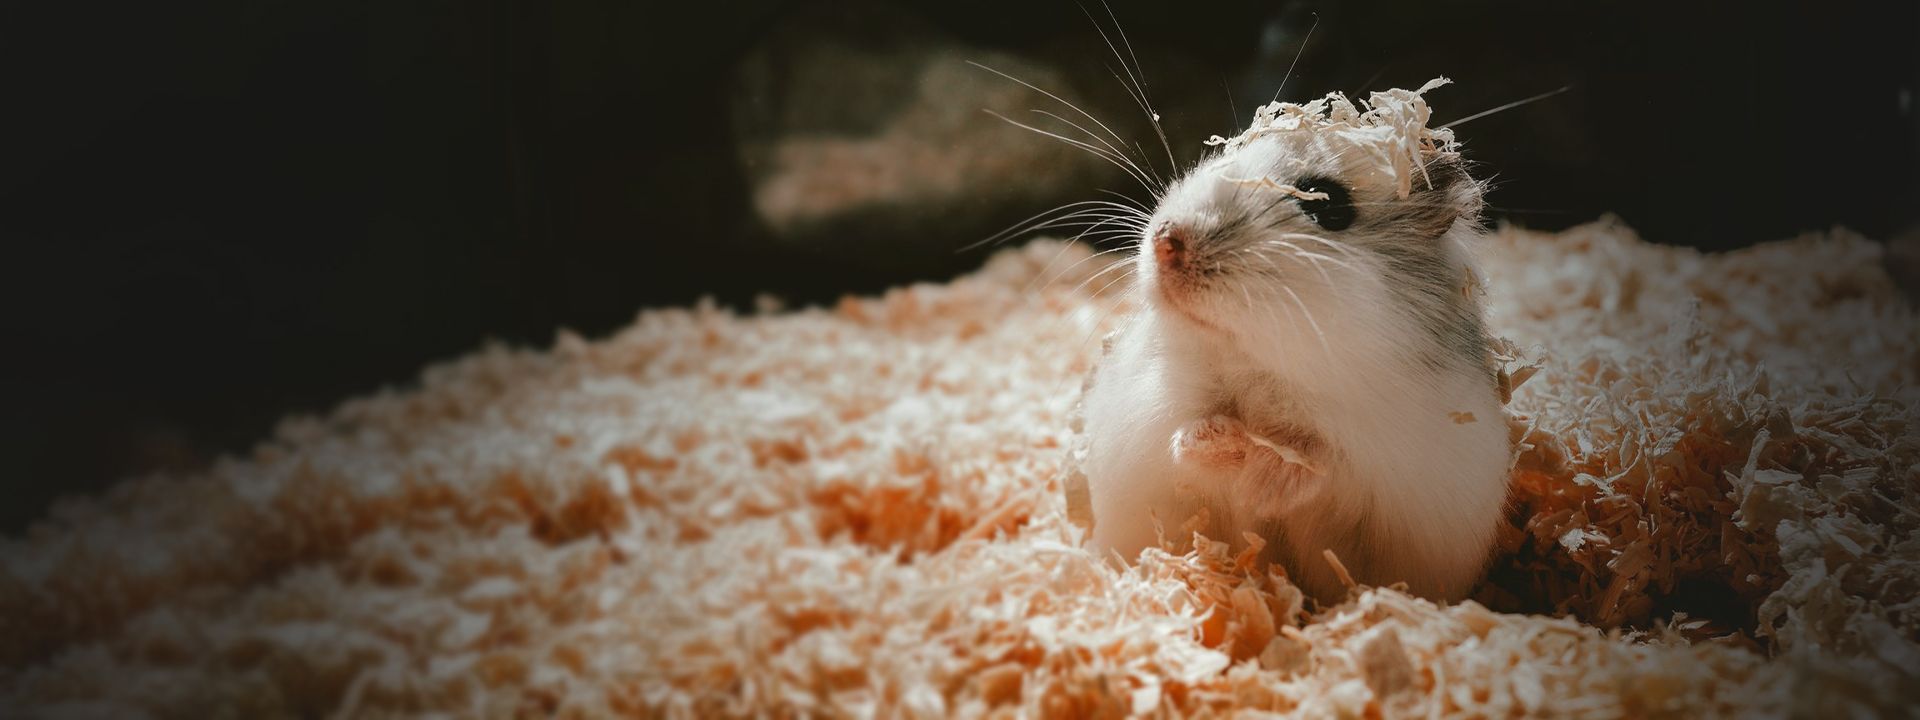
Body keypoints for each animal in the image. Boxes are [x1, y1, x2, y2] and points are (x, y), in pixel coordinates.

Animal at [1079, 79, 1510, 603]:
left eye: (1326, 203)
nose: (1167, 242)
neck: (1263, 366)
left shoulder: (1378, 450)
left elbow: (1319, 461)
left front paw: (1261, 481)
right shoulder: (1155, 404)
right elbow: (1185, 432)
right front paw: (1228, 448)